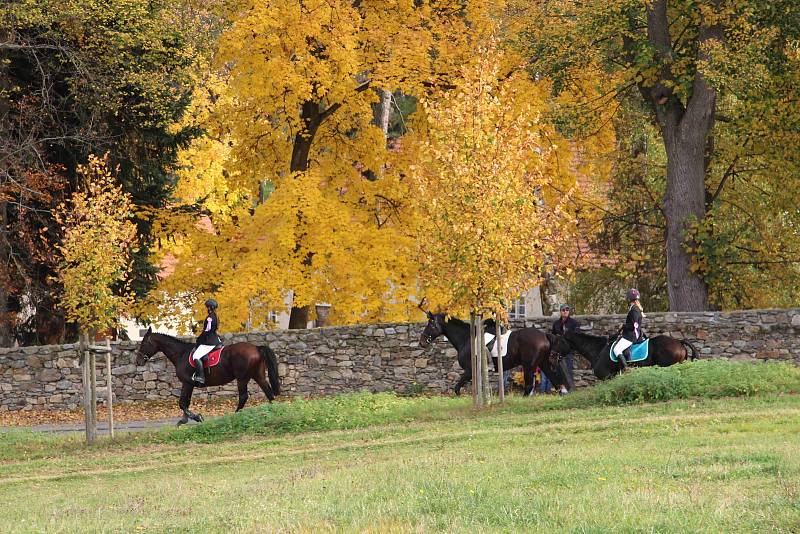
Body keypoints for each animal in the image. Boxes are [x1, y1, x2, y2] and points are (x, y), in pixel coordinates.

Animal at [133, 326, 280, 428]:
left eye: (144, 343)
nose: (138, 361)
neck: (181, 354)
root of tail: (256, 348)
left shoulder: (187, 383)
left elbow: (182, 403)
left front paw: (197, 417)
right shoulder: (189, 384)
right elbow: (185, 402)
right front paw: (184, 420)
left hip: (242, 378)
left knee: (244, 397)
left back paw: (234, 416)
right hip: (258, 376)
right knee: (269, 393)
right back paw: (273, 413)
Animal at [418, 314, 568, 398]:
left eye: (431, 324)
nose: (422, 342)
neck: (466, 338)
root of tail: (544, 335)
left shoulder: (470, 371)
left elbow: (457, 388)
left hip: (528, 365)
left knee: (530, 384)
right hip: (542, 363)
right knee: (553, 378)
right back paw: (561, 393)